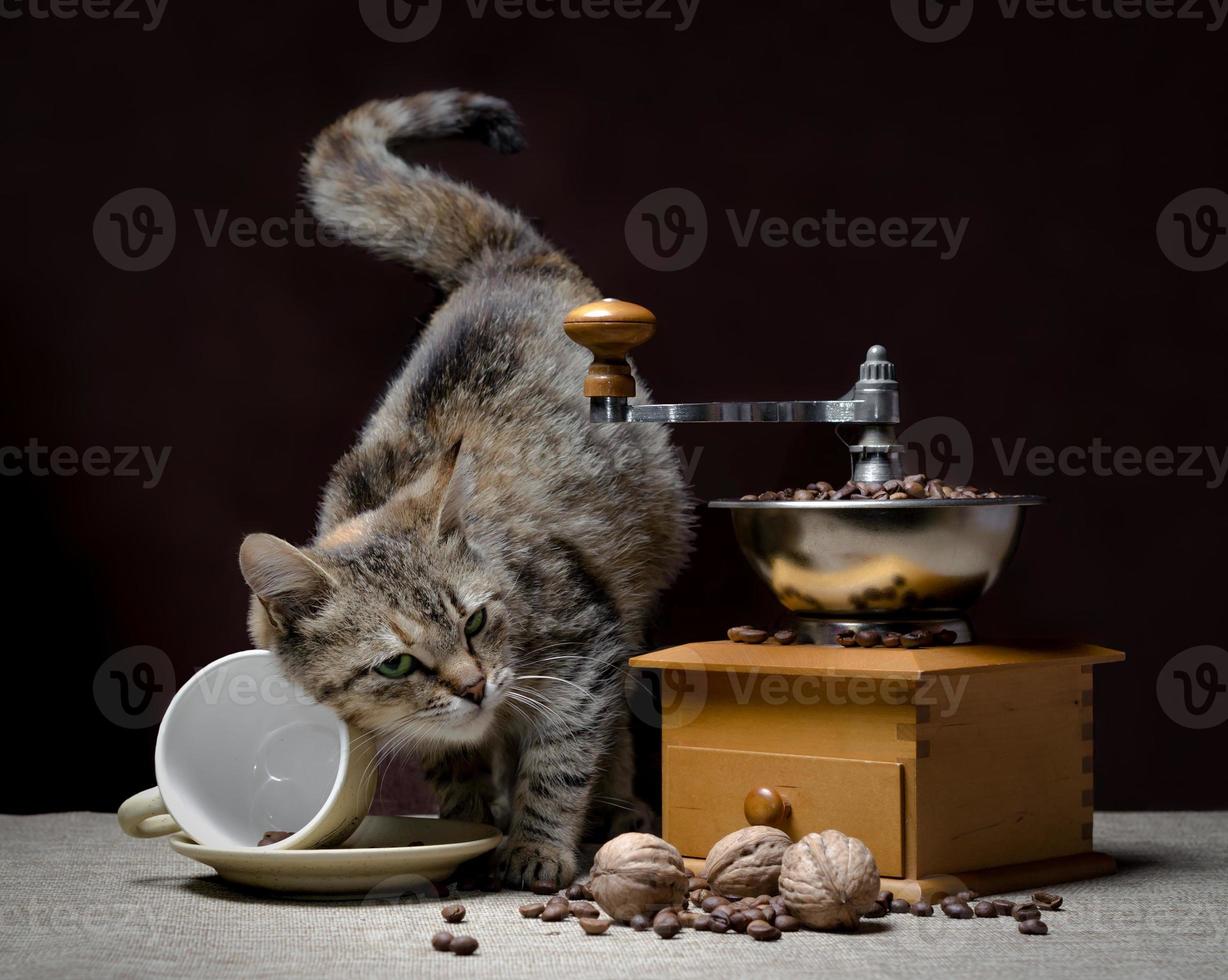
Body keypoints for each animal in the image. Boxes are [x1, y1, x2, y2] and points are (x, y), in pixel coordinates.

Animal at [232, 92, 692, 889]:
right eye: (395, 663)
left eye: (476, 621)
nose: (475, 686)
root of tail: (502, 262)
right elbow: (452, 761)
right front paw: (469, 825)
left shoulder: (586, 650)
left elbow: (560, 759)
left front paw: (535, 844)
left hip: (637, 588)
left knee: (611, 735)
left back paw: (614, 808)